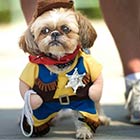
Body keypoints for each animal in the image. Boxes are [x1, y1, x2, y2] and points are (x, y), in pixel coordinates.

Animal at [19, 0, 110, 139]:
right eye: (45, 30)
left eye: (65, 29)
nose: (54, 33)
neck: (59, 62)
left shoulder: (82, 96)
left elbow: (83, 115)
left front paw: (84, 130)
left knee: (96, 101)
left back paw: (102, 117)